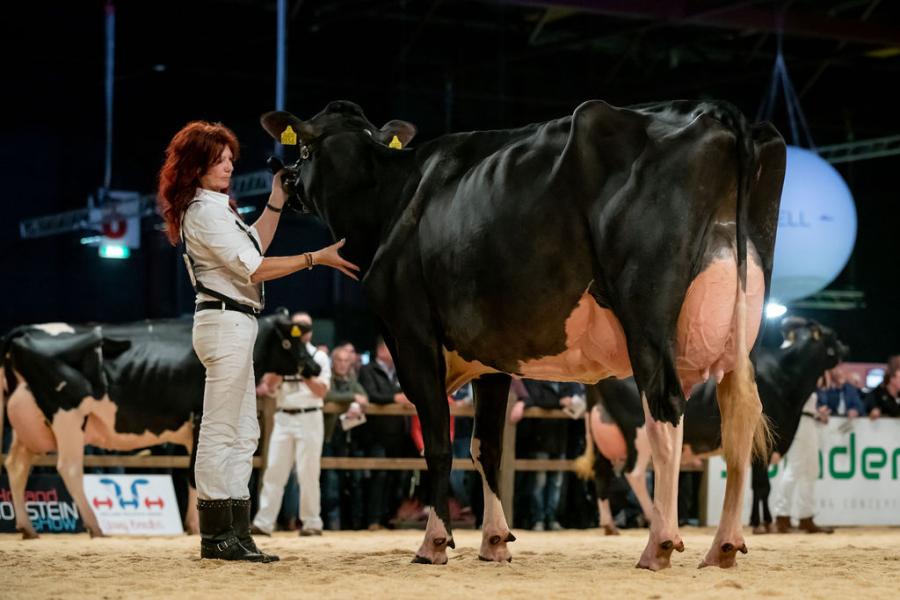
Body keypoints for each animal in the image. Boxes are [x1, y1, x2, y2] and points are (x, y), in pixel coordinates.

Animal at [1, 314, 308, 540]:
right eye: (290, 342)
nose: (314, 367)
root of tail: (23, 330)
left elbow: (194, 470)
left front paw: (192, 524)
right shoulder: (199, 418)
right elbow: (195, 472)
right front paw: (195, 526)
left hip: (27, 424)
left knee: (16, 466)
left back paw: (27, 528)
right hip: (68, 416)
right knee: (70, 468)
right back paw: (95, 526)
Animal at [262, 97, 788, 568]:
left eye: (302, 147)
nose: (282, 176)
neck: (392, 196)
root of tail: (718, 113)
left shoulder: (411, 336)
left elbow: (439, 444)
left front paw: (435, 542)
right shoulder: (491, 357)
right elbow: (486, 446)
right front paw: (494, 541)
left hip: (647, 316)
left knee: (664, 412)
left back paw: (659, 542)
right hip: (742, 323)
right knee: (739, 416)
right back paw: (723, 546)